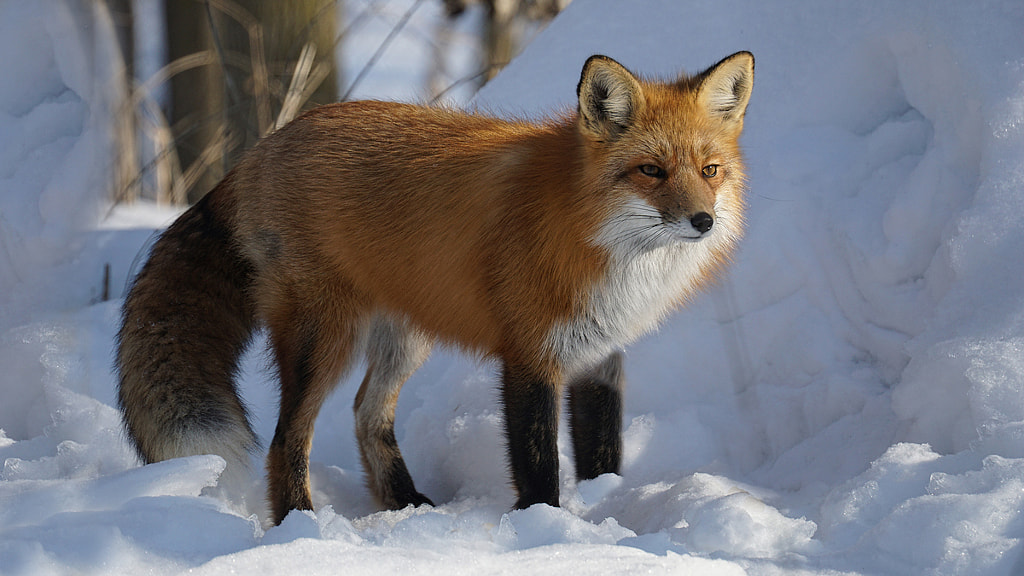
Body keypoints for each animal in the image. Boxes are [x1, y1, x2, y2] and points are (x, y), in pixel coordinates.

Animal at [116, 51, 753, 522]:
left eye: (710, 171)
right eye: (651, 171)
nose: (703, 221)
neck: (586, 232)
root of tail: (260, 148)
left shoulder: (601, 358)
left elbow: (603, 454)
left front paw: (603, 508)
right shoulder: (529, 356)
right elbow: (539, 464)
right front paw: (544, 529)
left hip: (405, 337)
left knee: (366, 415)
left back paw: (406, 505)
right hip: (324, 339)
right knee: (286, 440)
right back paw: (298, 524)